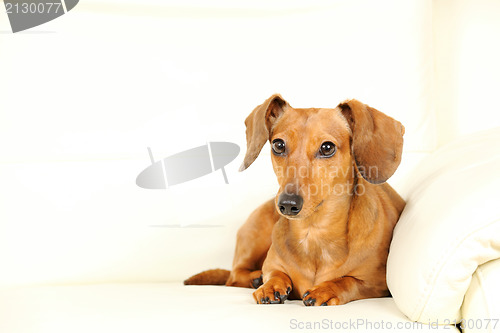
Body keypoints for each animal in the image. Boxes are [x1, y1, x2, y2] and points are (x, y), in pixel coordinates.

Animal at [184, 94, 406, 306]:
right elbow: (274, 273)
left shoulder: (378, 284)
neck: (313, 233)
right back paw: (255, 279)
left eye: (327, 148)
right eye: (278, 145)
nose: (287, 204)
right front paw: (270, 285)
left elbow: (348, 280)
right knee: (234, 276)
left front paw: (327, 289)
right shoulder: (272, 265)